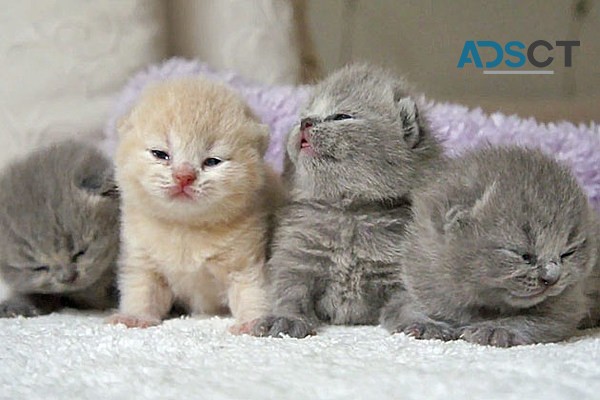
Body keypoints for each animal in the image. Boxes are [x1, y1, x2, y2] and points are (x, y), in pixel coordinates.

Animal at [108, 77, 284, 332]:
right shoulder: (142, 259)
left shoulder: (246, 261)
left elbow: (253, 291)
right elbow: (141, 289)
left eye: (212, 161)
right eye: (160, 154)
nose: (184, 176)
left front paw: (254, 322)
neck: (185, 228)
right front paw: (134, 317)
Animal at [251, 63, 442, 338]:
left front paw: (422, 322)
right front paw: (284, 319)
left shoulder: (401, 267)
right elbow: (287, 293)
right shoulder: (294, 256)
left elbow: (411, 299)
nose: (305, 123)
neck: (348, 211)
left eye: (341, 117)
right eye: (304, 116)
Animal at [382, 147, 596, 346]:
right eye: (524, 255)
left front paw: (495, 329)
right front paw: (426, 324)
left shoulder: (568, 304)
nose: (552, 278)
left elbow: (532, 320)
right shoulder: (413, 283)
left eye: (567, 253)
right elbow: (402, 308)